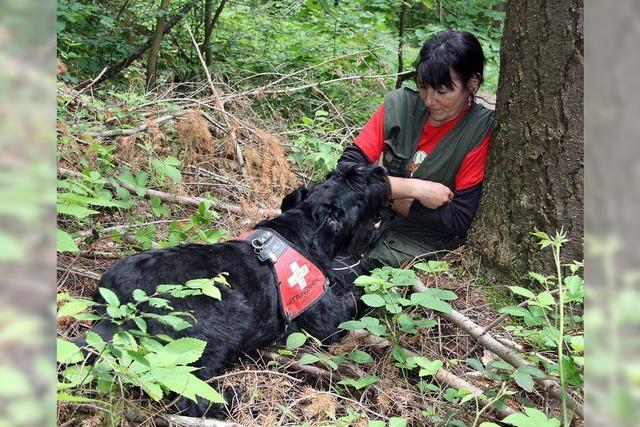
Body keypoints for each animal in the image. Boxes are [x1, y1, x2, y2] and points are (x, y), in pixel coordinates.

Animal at [87, 162, 388, 416]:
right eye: (358, 187)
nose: (380, 171)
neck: (302, 230)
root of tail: (118, 311)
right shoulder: (328, 319)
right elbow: (358, 299)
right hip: (223, 321)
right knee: (187, 394)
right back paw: (229, 400)